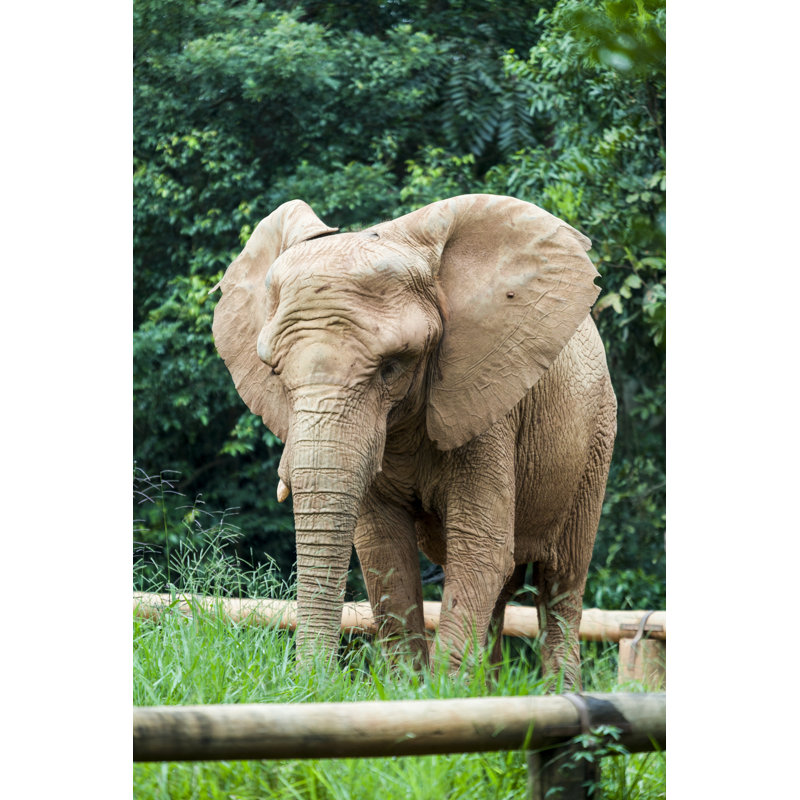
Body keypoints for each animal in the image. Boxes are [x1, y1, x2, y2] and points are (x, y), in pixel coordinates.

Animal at [212, 193, 616, 688]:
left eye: (392, 367)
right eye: (274, 372)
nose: (312, 681)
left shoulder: (485, 402)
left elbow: (480, 550)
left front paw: (440, 693)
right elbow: (385, 550)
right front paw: (413, 690)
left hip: (597, 437)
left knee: (560, 584)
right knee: (504, 593)